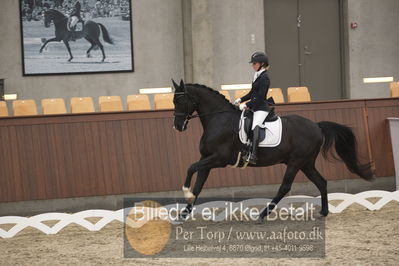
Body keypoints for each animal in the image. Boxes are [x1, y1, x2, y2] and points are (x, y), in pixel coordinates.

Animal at [173, 79, 376, 222]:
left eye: (180, 100)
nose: (177, 126)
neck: (219, 120)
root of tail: (317, 126)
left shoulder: (218, 159)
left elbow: (191, 168)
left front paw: (185, 192)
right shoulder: (207, 158)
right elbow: (198, 185)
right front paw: (183, 214)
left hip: (296, 162)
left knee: (285, 187)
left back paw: (262, 215)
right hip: (306, 163)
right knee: (321, 182)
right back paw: (323, 212)